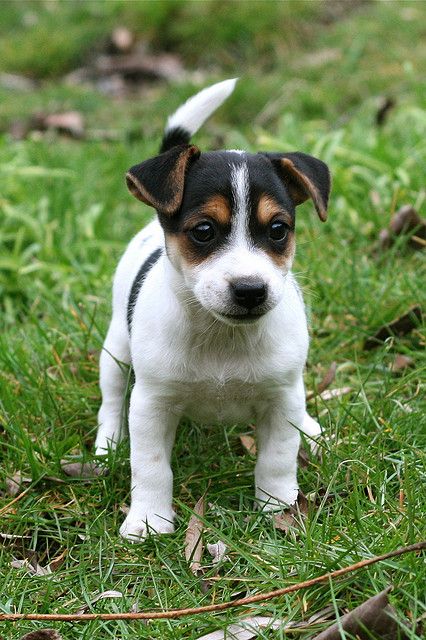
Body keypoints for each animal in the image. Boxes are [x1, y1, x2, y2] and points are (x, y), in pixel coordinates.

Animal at [95, 79, 332, 540]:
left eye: (279, 230)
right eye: (203, 230)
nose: (251, 290)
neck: (222, 337)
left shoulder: (280, 398)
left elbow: (276, 459)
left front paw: (277, 508)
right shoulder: (151, 404)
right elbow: (151, 467)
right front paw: (149, 520)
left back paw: (311, 429)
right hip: (116, 350)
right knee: (111, 396)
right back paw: (107, 442)